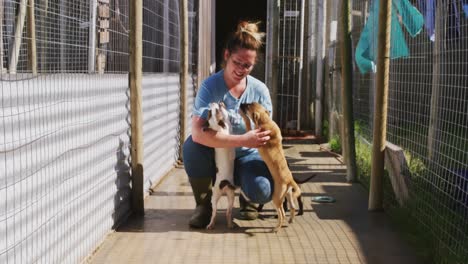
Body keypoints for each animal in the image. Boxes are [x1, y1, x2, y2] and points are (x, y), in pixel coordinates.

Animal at [239, 102, 302, 232]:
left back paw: (276, 228)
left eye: (247, 106)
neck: (266, 121)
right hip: (288, 194)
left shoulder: (254, 135)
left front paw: (244, 116)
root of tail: (290, 180)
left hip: (276, 197)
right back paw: (291, 220)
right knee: (293, 207)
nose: (241, 104)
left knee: (282, 213)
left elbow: (248, 123)